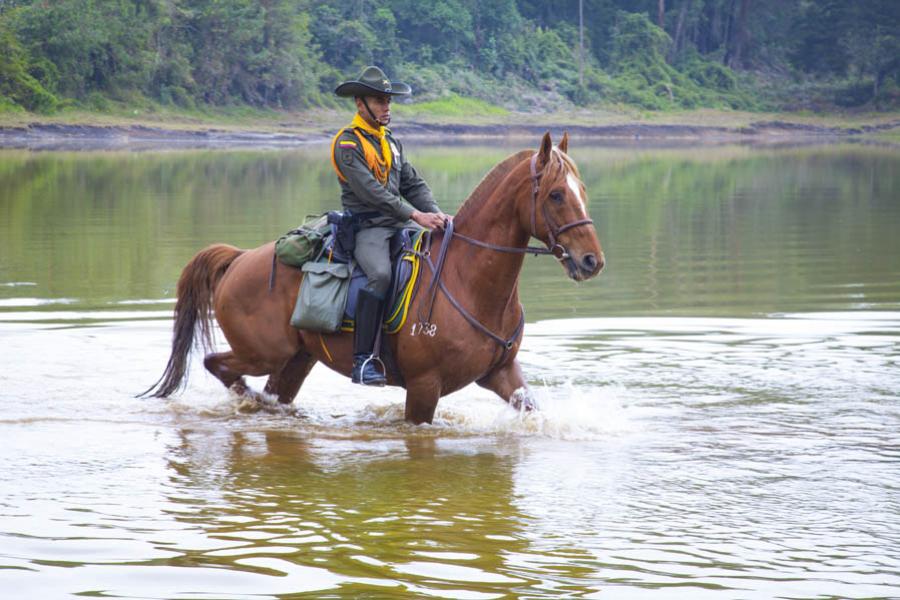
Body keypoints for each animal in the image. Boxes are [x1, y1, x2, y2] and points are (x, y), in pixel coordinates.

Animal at [141, 134, 604, 424]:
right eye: (556, 195)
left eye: (583, 190)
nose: (591, 261)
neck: (468, 279)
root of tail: (239, 260)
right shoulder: (423, 387)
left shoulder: (502, 373)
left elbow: (534, 411)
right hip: (263, 352)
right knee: (217, 365)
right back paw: (251, 402)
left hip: (296, 359)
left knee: (269, 390)